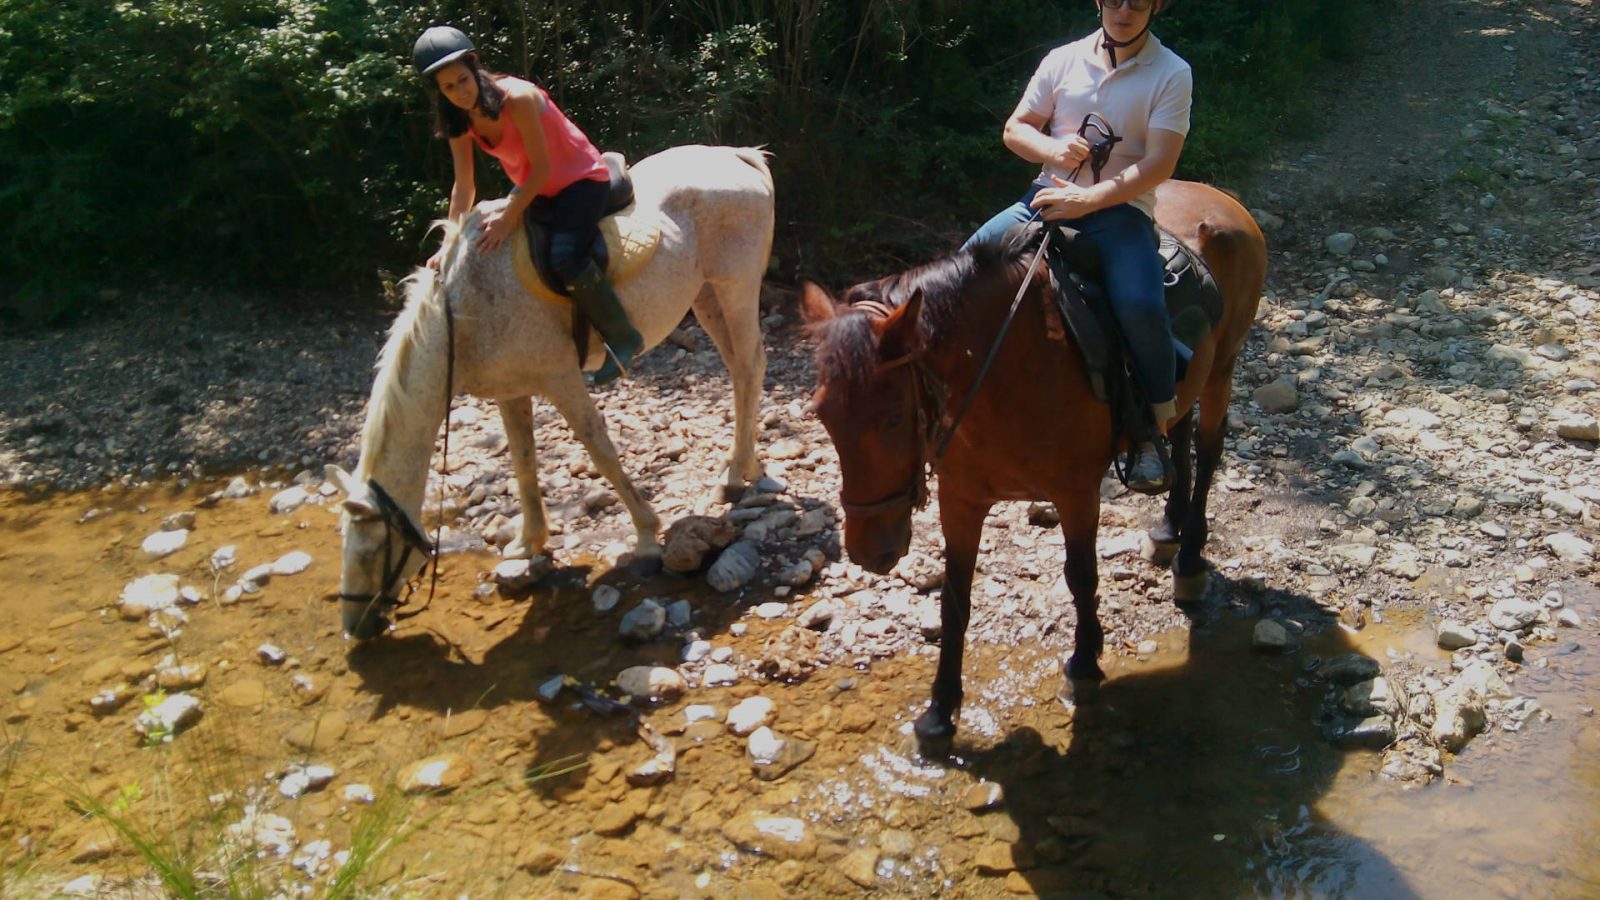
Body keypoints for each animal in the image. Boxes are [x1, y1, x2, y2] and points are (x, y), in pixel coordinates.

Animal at [326, 145, 774, 637]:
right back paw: (741, 467)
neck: (467, 313)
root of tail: (736, 155)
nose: (355, 626)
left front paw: (645, 535)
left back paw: (736, 475)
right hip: (706, 296)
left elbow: (600, 451)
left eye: (371, 550)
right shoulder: (510, 391)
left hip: (735, 289)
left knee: (749, 367)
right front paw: (529, 542)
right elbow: (523, 462)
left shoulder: (561, 379)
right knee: (739, 371)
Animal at [800, 180, 1260, 743]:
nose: (870, 551)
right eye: (822, 415)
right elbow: (954, 598)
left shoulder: (1076, 493)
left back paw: (1190, 558)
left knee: (1209, 450)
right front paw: (939, 710)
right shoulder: (961, 498)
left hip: (1223, 369)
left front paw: (1084, 665)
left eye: (890, 419)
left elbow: (1081, 576)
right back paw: (1168, 530)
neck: (1005, 371)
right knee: (1178, 436)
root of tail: (1220, 198)